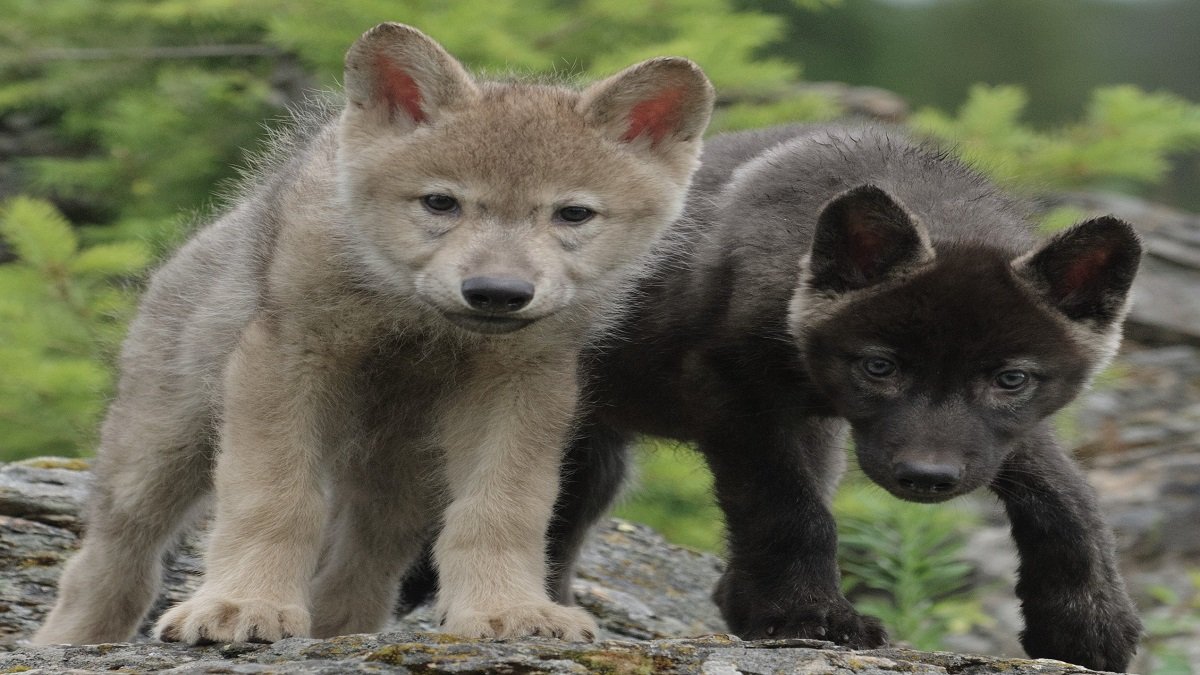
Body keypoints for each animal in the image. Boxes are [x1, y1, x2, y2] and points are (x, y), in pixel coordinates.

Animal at [31, 23, 714, 646]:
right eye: (440, 203)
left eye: (573, 214)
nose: (497, 292)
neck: (414, 322)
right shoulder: (284, 362)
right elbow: (272, 498)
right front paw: (241, 605)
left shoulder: (521, 384)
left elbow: (503, 509)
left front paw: (507, 610)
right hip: (159, 448)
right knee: (112, 555)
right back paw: (71, 641)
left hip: (398, 478)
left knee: (360, 566)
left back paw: (339, 631)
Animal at [400, 124, 1144, 671]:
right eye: (880, 366)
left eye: (1010, 378)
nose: (926, 478)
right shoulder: (733, 390)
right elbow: (790, 509)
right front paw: (810, 615)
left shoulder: (988, 436)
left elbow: (1069, 497)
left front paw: (1086, 624)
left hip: (594, 461)